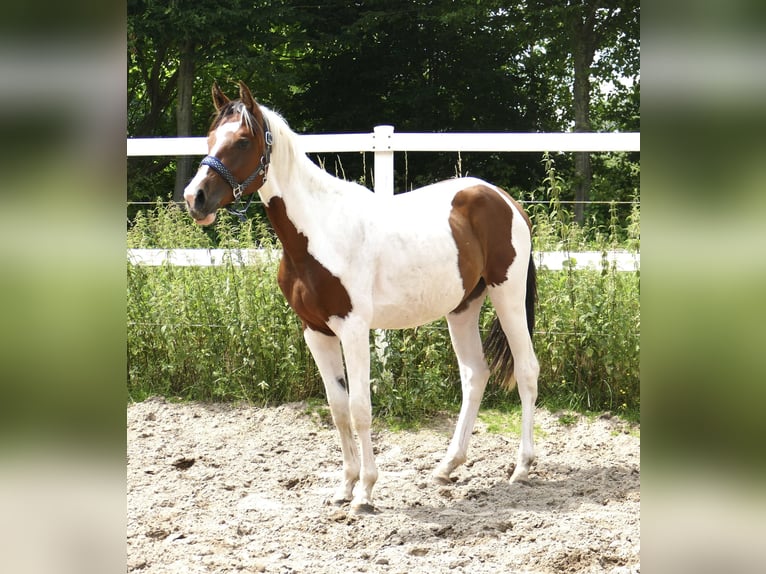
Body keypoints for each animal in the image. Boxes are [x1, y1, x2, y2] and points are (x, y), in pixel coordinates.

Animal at [184, 80, 544, 512]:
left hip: (507, 294)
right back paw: (446, 467)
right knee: (475, 374)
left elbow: (360, 409)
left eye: (241, 140)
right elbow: (338, 409)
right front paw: (345, 487)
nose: (195, 198)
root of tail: (507, 202)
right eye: (209, 138)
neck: (319, 231)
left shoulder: (353, 329)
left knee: (526, 370)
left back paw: (522, 467)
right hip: (462, 307)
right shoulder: (315, 331)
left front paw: (366, 491)